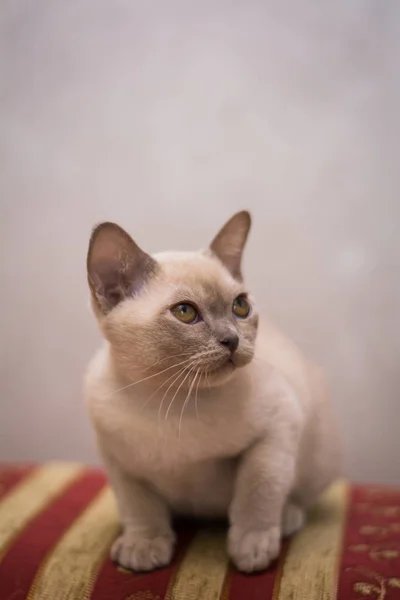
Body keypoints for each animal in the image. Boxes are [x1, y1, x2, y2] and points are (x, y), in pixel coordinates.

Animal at [84, 211, 340, 572]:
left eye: (240, 306)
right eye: (185, 312)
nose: (232, 340)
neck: (172, 401)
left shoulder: (276, 428)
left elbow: (258, 490)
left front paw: (251, 548)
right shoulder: (119, 463)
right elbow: (139, 507)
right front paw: (144, 546)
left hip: (319, 456)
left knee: (295, 495)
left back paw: (287, 519)